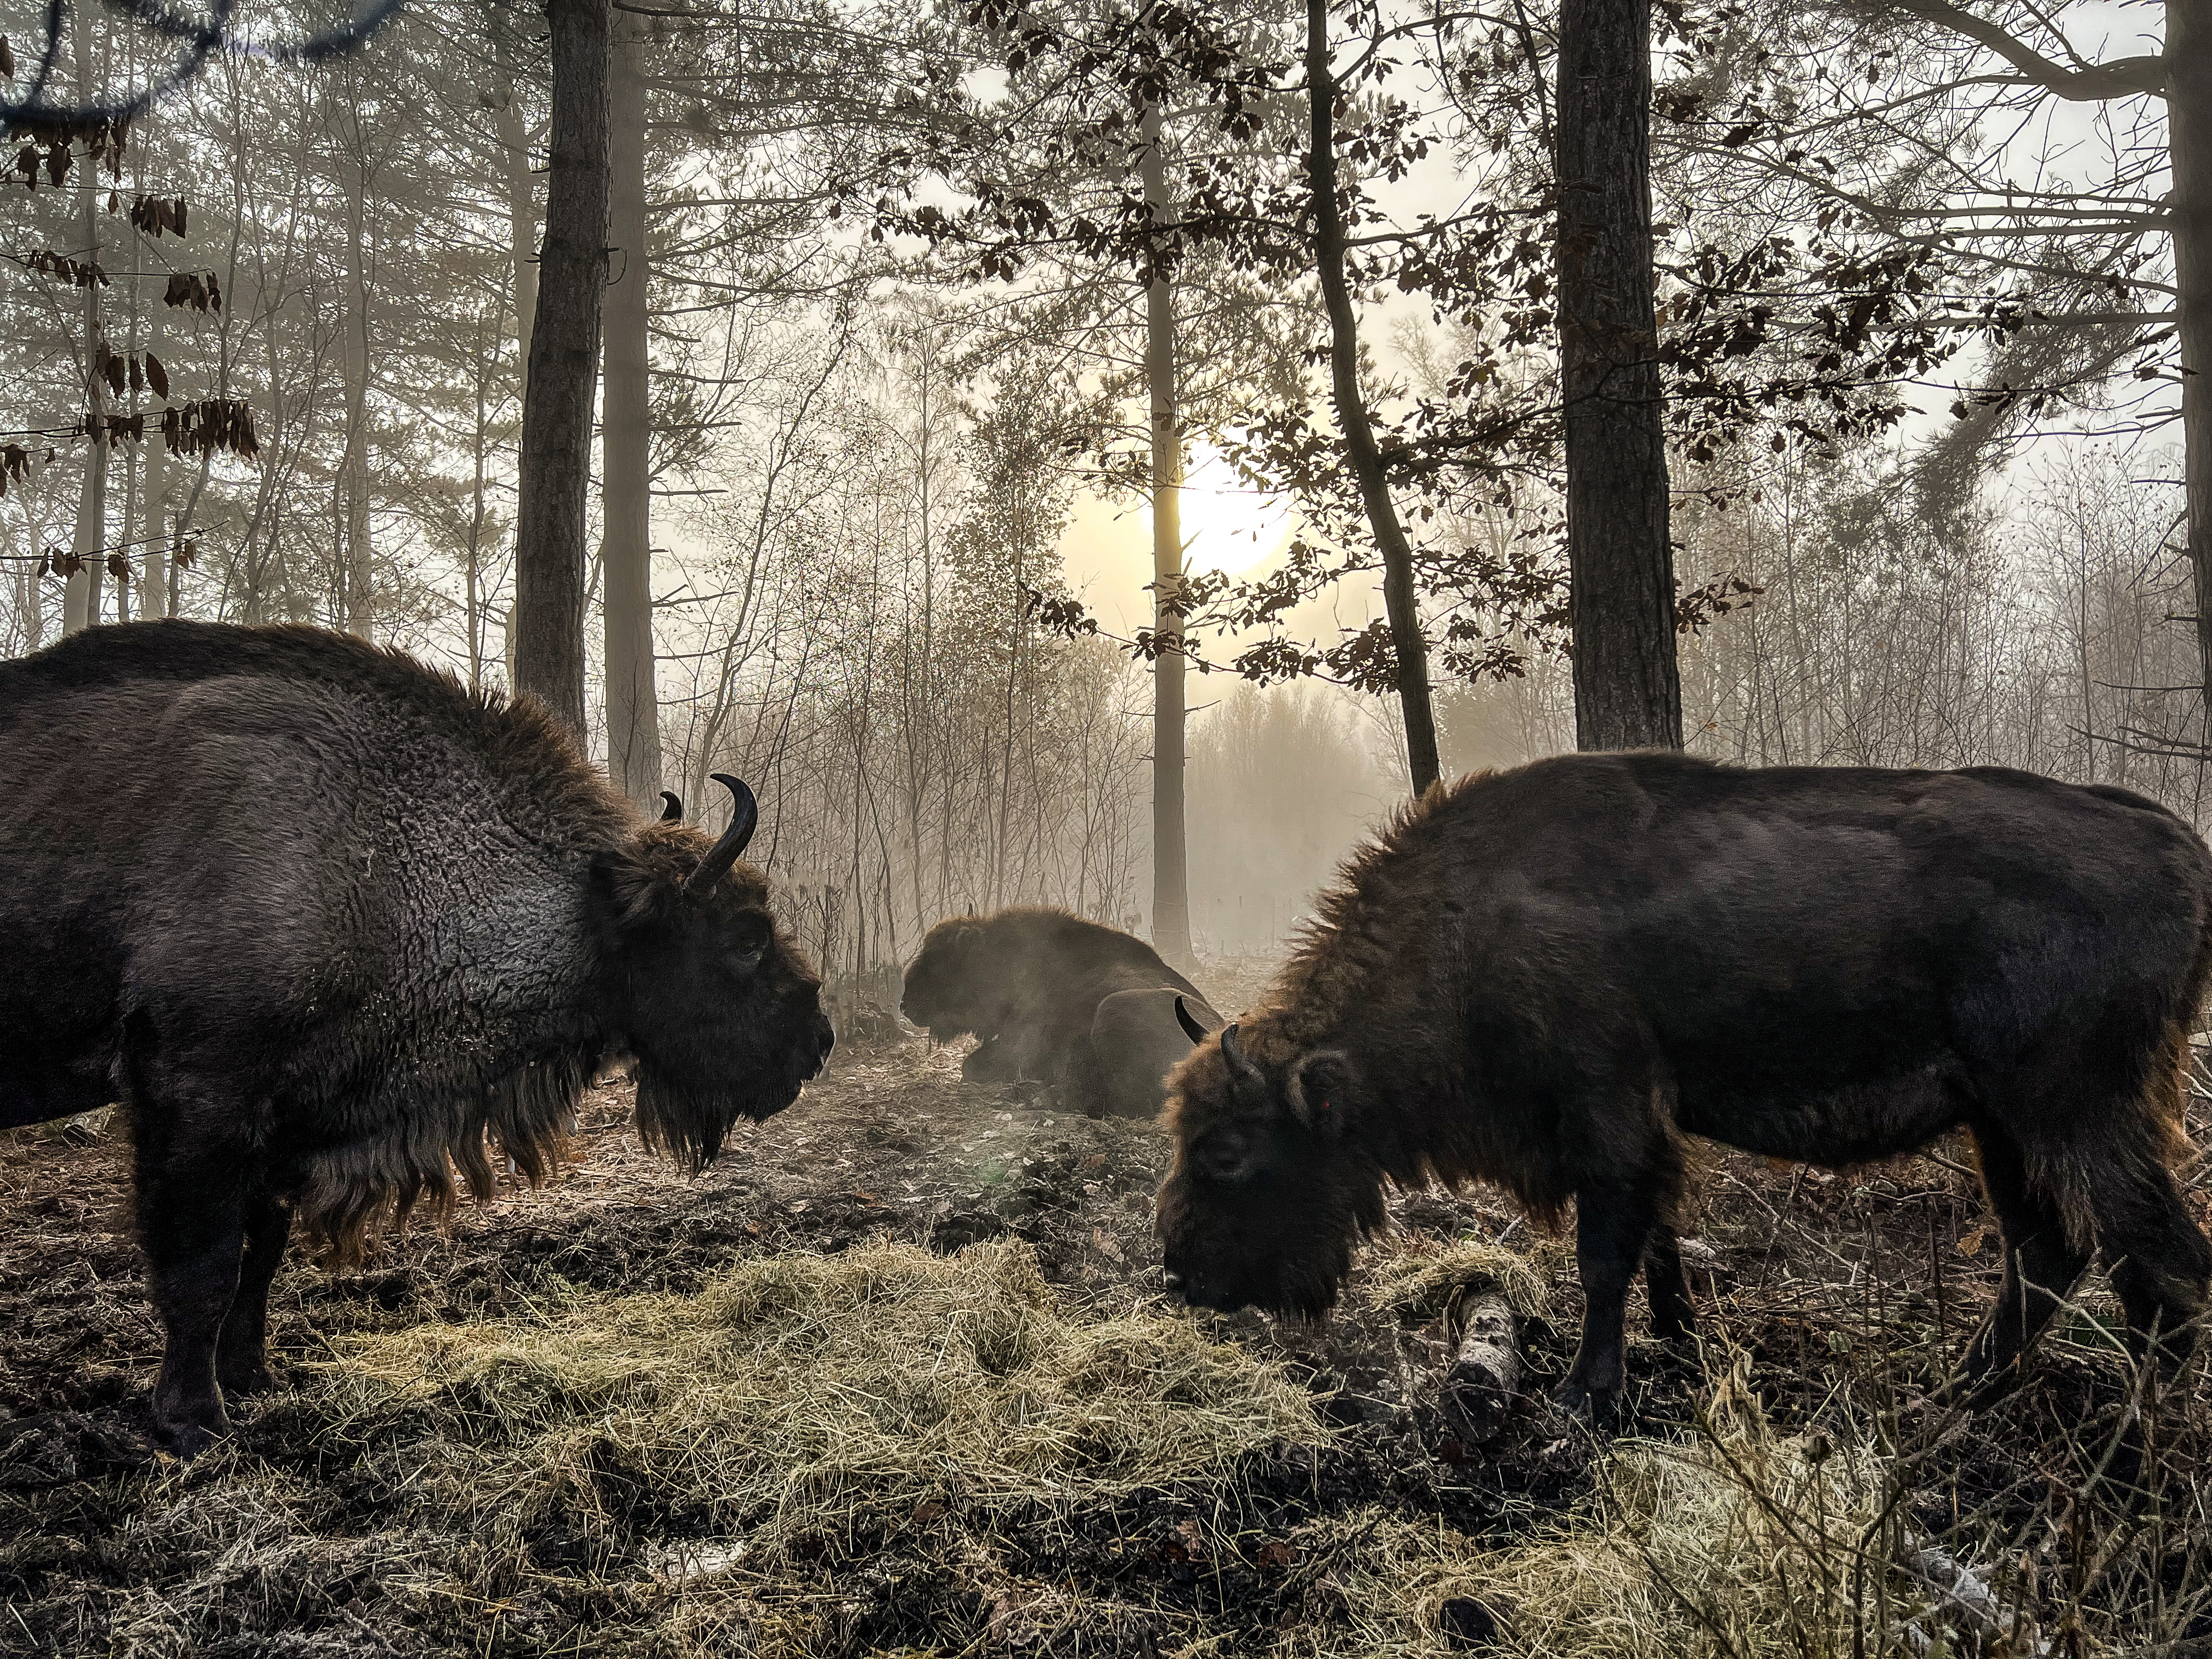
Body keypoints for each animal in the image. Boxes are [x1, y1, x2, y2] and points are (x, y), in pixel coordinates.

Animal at [1, 620, 834, 1451]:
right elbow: (201, 1267)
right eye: (747, 936)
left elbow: (260, 1252)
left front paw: (252, 1377)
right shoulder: (196, 1097)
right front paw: (195, 1421)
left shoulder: (279, 1120)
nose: (819, 1041)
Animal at [901, 907, 1222, 1118]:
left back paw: (1037, 1096)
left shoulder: (1018, 1047)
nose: (904, 1004)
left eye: (941, 960)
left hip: (1113, 1008)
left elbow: (970, 1066)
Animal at [1158, 752, 2212, 1417]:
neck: (1466, 929)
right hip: (2002, 1123)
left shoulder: (1607, 1116)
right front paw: (1677, 1342)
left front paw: (1584, 1393)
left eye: (1227, 1151)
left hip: (2075, 1111)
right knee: (2049, 1251)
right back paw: (1954, 1396)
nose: (1182, 1272)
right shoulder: (1643, 1133)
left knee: (2159, 1265)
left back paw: (2131, 1449)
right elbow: (1656, 1242)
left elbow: (1602, 1255)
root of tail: (2177, 843)